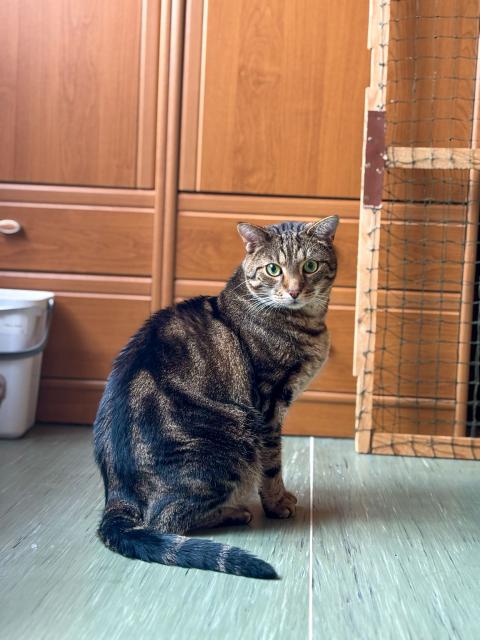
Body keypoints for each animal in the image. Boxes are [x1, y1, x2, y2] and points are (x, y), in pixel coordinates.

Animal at [93, 215, 339, 579]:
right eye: (274, 269)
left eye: (310, 265)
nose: (294, 290)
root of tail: (116, 493)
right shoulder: (268, 406)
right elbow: (272, 466)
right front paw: (277, 503)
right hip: (234, 438)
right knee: (165, 521)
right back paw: (233, 512)